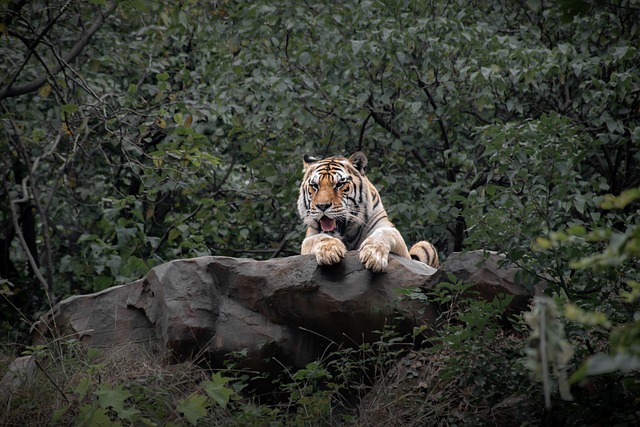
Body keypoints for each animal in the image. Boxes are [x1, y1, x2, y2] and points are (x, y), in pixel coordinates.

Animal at [296, 152, 438, 272]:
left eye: (339, 184)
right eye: (315, 186)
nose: (322, 206)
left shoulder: (392, 235)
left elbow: (383, 233)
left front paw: (373, 255)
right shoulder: (308, 240)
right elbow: (319, 238)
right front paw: (330, 251)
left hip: (425, 245)